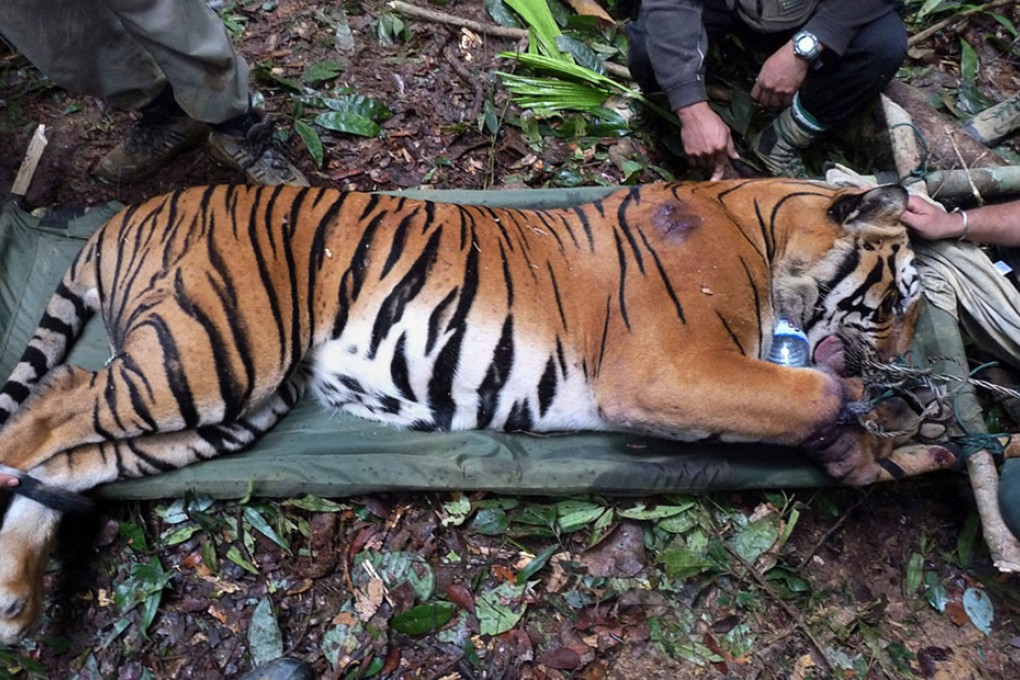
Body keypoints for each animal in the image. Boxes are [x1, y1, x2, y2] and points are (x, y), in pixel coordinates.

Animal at [0, 178, 957, 643]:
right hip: (209, 353)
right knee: (52, 403)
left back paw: (14, 599)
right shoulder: (671, 368)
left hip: (229, 405)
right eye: (901, 298)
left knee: (73, 458)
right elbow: (812, 392)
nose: (910, 355)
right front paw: (874, 415)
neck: (764, 231)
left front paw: (899, 448)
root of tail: (122, 213)